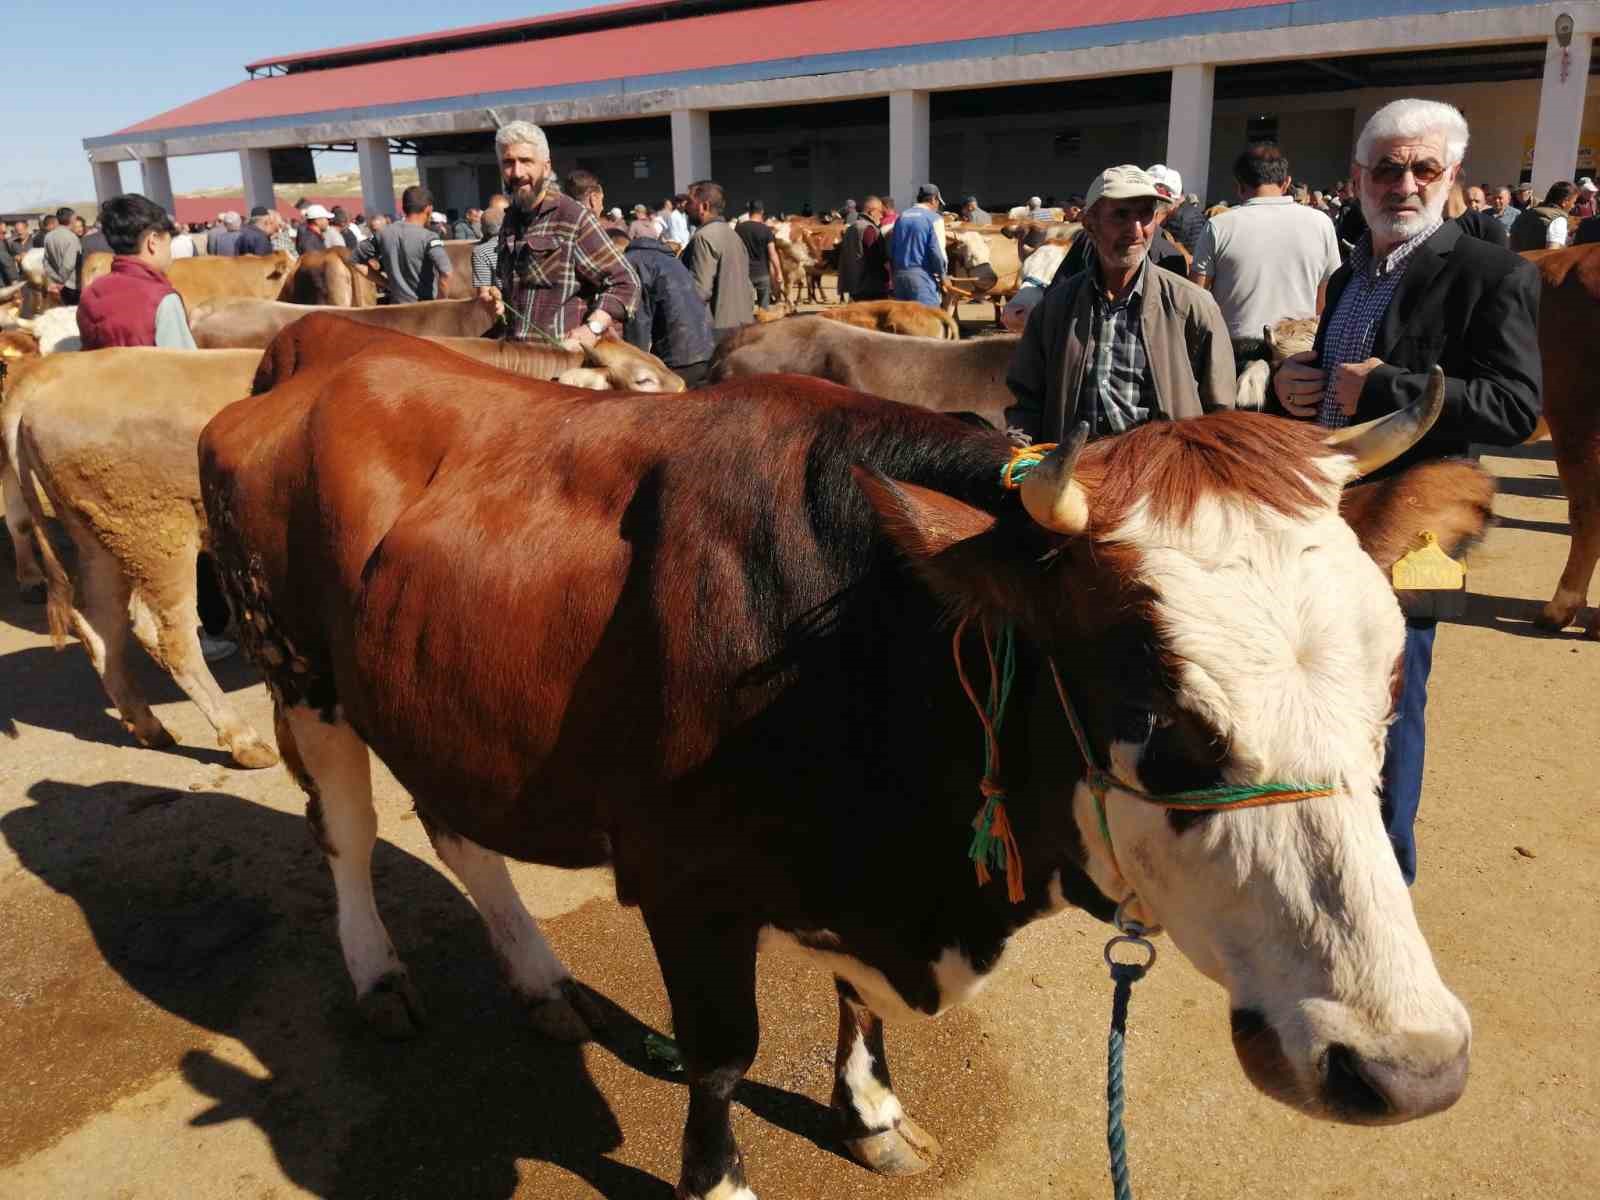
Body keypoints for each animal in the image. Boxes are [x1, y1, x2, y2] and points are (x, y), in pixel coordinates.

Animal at [200, 320, 1472, 1200]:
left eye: (1389, 684)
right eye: (1161, 717)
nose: (1405, 1066)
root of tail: (330, 351)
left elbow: (855, 1003)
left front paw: (867, 1109)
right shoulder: (685, 884)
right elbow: (721, 1055)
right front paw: (718, 1179)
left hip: (434, 693)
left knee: (457, 826)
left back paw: (539, 978)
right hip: (299, 671)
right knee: (347, 831)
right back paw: (379, 976)